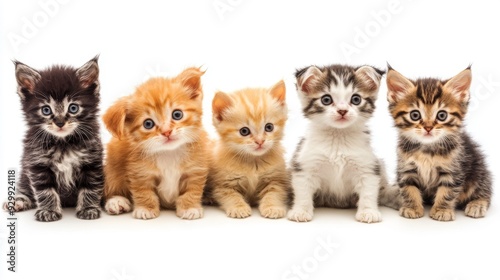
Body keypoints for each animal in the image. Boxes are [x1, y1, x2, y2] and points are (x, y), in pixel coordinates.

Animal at [2, 57, 104, 222]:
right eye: (46, 110)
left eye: (73, 108)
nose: (60, 123)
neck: (63, 143)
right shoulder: (37, 164)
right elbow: (45, 190)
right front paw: (48, 211)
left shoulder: (92, 162)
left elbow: (90, 187)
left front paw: (88, 208)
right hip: (25, 172)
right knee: (25, 187)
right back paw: (18, 200)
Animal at [103, 67, 209, 219]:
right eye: (148, 124)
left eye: (177, 114)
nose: (166, 132)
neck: (169, 153)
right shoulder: (140, 172)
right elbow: (144, 191)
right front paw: (146, 208)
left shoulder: (195, 169)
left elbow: (192, 191)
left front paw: (190, 207)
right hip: (113, 163)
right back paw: (116, 201)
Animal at [204, 80, 290, 219]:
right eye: (244, 131)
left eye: (269, 127)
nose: (260, 141)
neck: (253, 162)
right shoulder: (223, 185)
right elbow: (232, 196)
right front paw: (239, 208)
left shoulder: (276, 180)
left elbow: (273, 194)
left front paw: (272, 207)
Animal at [386, 65, 492, 221]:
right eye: (415, 115)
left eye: (442, 115)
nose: (428, 127)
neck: (427, 149)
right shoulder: (406, 167)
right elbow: (408, 187)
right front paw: (412, 207)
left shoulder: (453, 169)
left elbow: (447, 191)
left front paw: (442, 210)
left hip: (478, 171)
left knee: (484, 191)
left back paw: (477, 205)